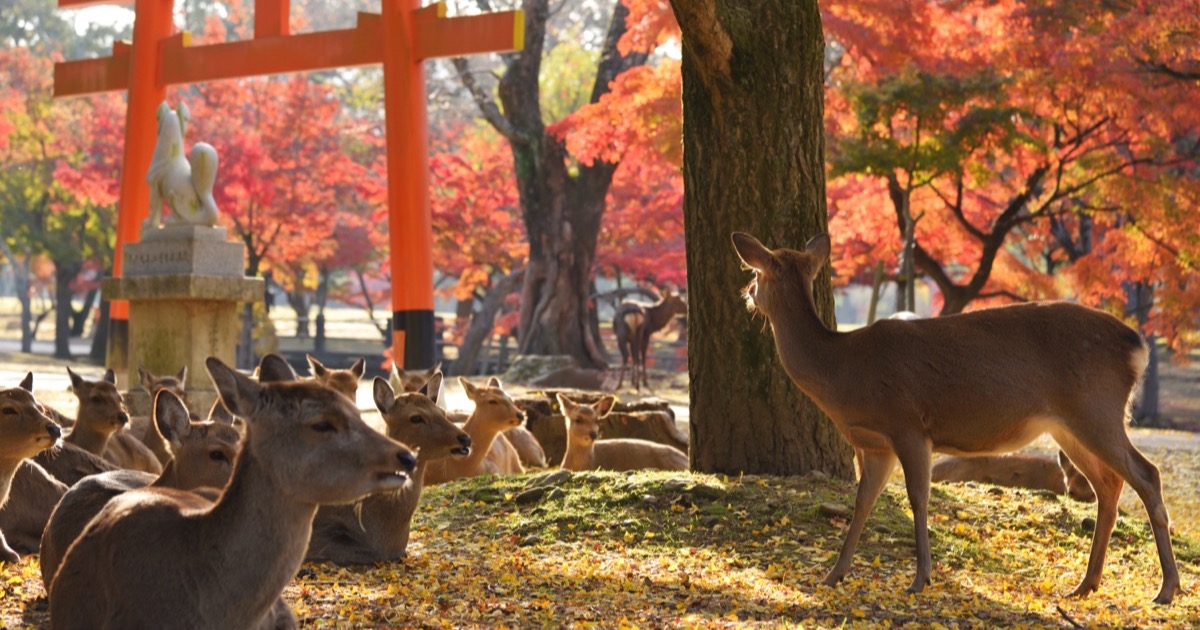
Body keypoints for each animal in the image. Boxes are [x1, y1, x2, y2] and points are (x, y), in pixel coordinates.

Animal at [731, 231, 1180, 604]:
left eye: (757, 272)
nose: (746, 293)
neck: (844, 374)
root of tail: (1137, 346)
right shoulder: (874, 445)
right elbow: (863, 502)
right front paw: (833, 574)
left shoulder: (909, 424)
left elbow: (918, 497)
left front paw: (920, 578)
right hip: (1068, 425)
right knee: (1109, 484)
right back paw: (1086, 584)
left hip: (1096, 408)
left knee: (1147, 474)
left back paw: (1166, 589)